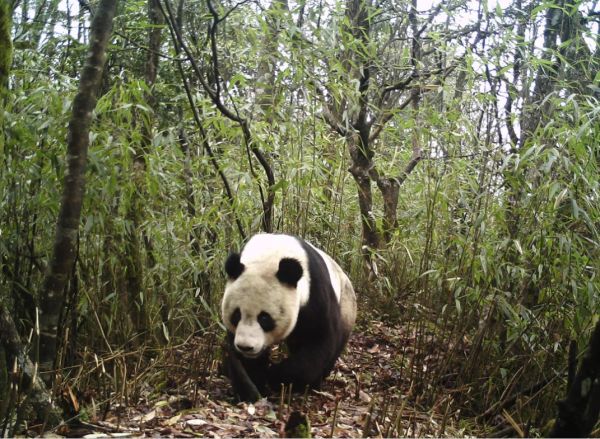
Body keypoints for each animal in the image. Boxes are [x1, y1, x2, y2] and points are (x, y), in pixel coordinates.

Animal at [223, 234, 358, 402]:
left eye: (264, 318)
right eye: (236, 315)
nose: (245, 347)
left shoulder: (315, 295)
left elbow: (319, 341)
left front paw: (275, 376)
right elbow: (243, 362)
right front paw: (254, 387)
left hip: (346, 307)